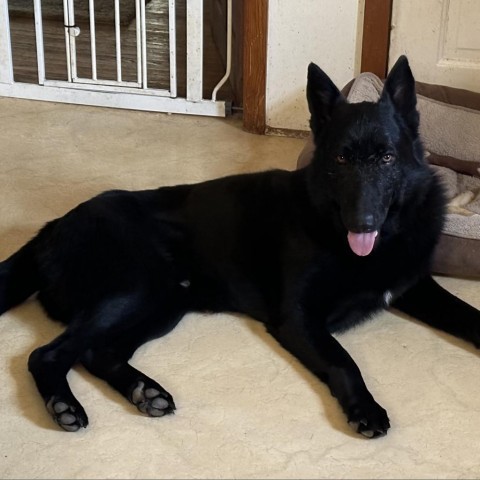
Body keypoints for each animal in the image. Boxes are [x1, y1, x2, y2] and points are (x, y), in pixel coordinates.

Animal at [0, 56, 480, 438]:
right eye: (341, 159)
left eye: (386, 157)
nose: (361, 223)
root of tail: (52, 226)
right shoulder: (298, 318)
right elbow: (345, 361)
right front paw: (365, 407)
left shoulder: (415, 286)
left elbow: (469, 315)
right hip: (135, 289)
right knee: (47, 354)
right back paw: (65, 406)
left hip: (163, 304)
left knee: (97, 353)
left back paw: (145, 391)